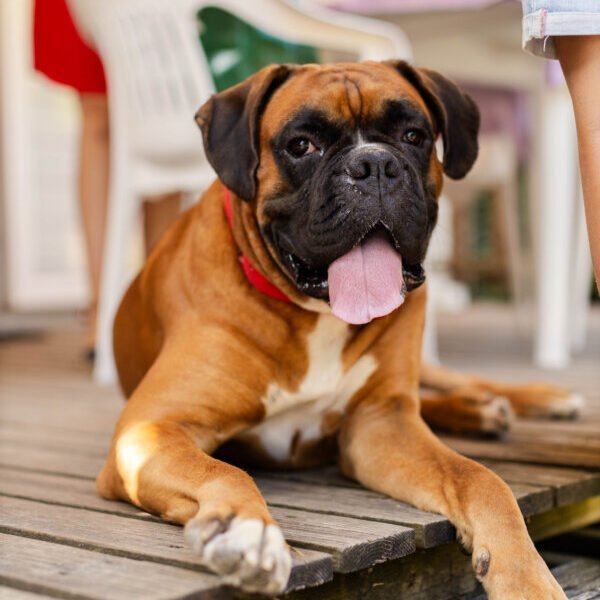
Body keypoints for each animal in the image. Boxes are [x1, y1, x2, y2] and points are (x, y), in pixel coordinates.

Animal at [96, 61, 576, 596]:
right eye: (302, 145)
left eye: (414, 136)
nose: (375, 166)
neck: (313, 313)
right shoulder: (152, 427)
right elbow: (224, 471)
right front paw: (246, 530)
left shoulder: (380, 425)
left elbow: (480, 479)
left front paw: (528, 579)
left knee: (458, 383)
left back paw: (528, 399)